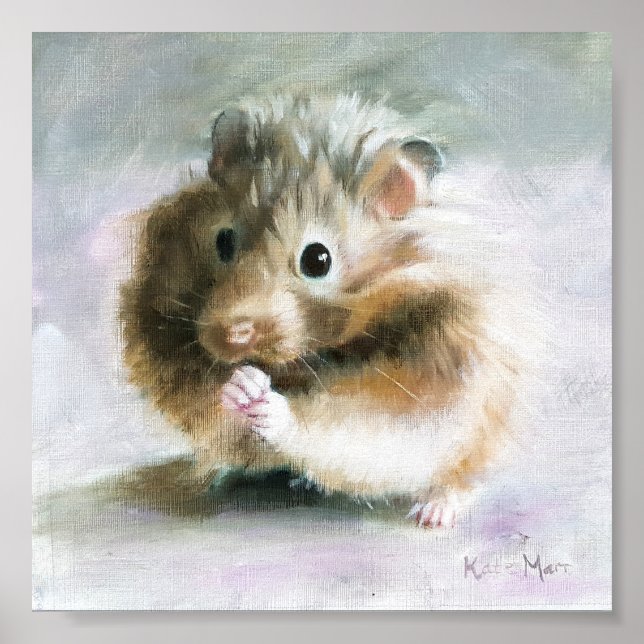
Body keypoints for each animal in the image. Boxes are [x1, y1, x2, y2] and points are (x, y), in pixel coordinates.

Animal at [120, 94, 524, 528]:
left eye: (317, 259)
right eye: (223, 241)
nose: (233, 336)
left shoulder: (433, 376)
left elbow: (347, 423)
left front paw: (266, 402)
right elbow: (210, 405)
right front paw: (240, 386)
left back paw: (433, 513)